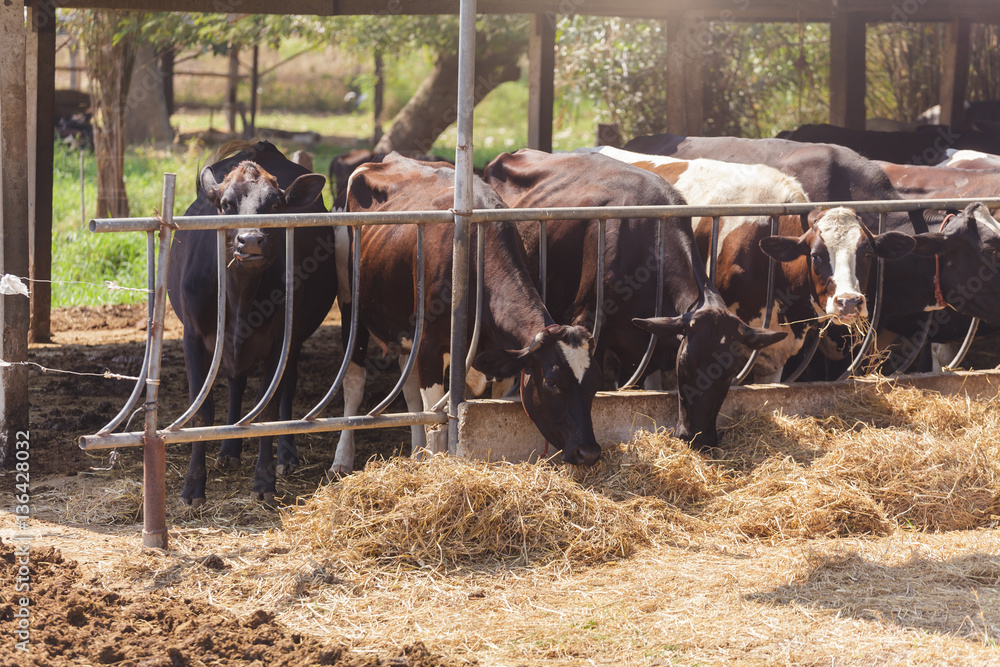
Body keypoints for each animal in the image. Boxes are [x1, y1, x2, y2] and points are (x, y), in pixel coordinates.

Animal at [167, 140, 339, 507]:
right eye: (226, 205)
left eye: (275, 204)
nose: (250, 241)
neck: (240, 297)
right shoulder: (193, 337)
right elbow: (202, 411)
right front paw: (193, 487)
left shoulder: (280, 341)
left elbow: (267, 409)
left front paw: (264, 482)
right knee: (236, 382)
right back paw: (229, 450)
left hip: (295, 339)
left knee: (287, 386)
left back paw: (286, 454)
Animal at [329, 152, 602, 475]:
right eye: (552, 383)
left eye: (595, 384)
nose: (589, 452)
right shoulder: (430, 348)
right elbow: (435, 420)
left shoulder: (502, 355)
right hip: (351, 305)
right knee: (354, 384)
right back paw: (342, 459)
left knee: (407, 386)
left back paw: (416, 453)